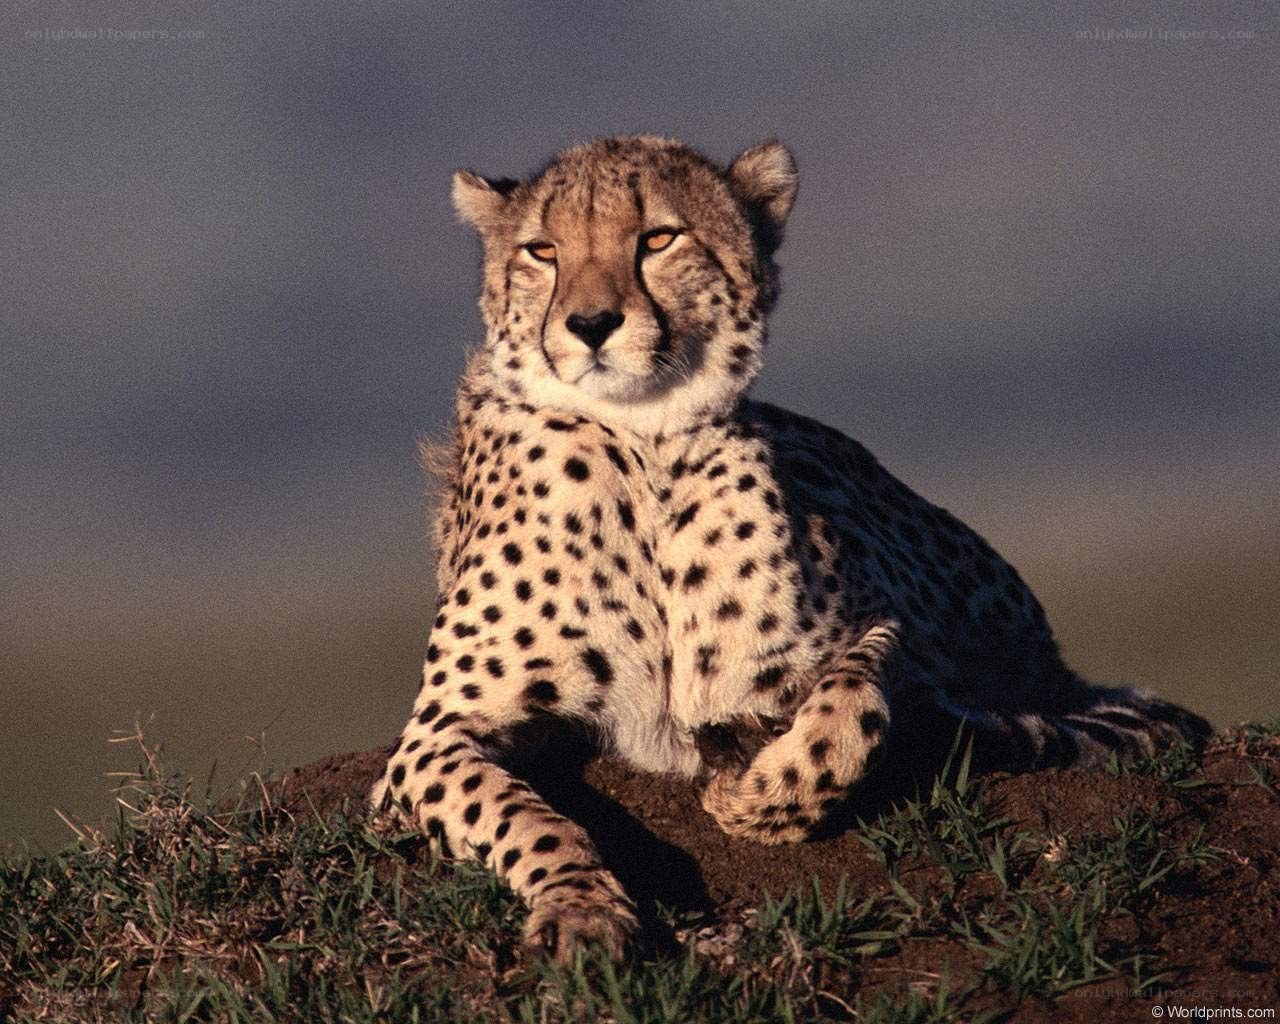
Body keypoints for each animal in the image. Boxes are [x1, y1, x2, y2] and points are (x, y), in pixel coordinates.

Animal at [370, 134, 1210, 962]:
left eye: (659, 239)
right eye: (542, 250)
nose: (591, 323)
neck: (646, 449)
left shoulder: (869, 630)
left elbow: (852, 709)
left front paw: (751, 793)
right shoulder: (431, 739)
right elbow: (526, 817)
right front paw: (581, 908)